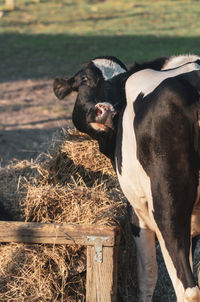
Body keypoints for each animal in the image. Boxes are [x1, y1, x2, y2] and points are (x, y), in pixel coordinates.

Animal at [54, 55, 200, 300]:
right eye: (84, 79)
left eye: (121, 82)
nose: (105, 110)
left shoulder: (137, 210)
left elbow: (148, 274)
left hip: (167, 211)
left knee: (187, 288)